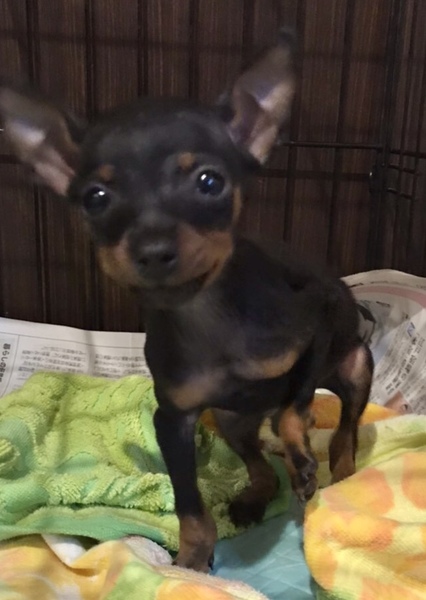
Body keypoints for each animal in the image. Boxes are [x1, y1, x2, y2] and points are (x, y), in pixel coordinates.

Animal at [0, 30, 373, 572]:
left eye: (209, 182)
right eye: (95, 198)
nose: (153, 250)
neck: (208, 317)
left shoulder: (317, 320)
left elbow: (296, 403)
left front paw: (301, 444)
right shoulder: (172, 422)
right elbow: (191, 508)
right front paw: (192, 562)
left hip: (356, 366)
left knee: (343, 431)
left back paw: (334, 476)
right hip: (231, 421)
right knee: (259, 463)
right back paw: (256, 496)